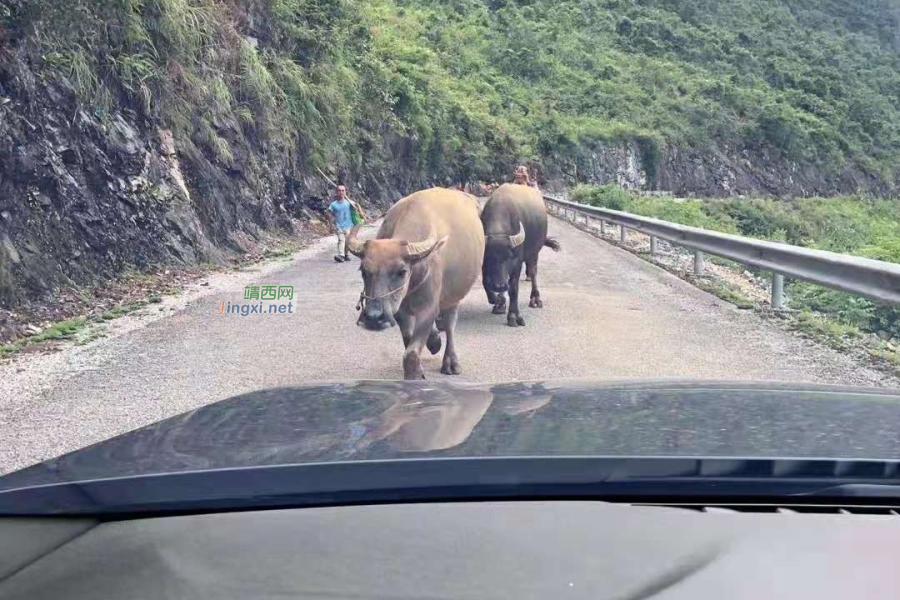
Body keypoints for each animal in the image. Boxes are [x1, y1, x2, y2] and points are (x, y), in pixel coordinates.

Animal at [346, 188, 486, 380]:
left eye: (402, 271)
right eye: (363, 270)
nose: (374, 318)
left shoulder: (429, 307)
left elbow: (411, 354)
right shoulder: (399, 310)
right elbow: (408, 341)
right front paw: (430, 347)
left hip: (454, 295)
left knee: (450, 323)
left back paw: (451, 362)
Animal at [482, 182, 560, 326]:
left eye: (509, 256)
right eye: (489, 257)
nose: (499, 286)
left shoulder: (516, 262)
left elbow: (513, 288)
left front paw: (514, 316)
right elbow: (485, 281)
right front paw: (498, 301)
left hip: (534, 252)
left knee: (533, 272)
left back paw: (535, 299)